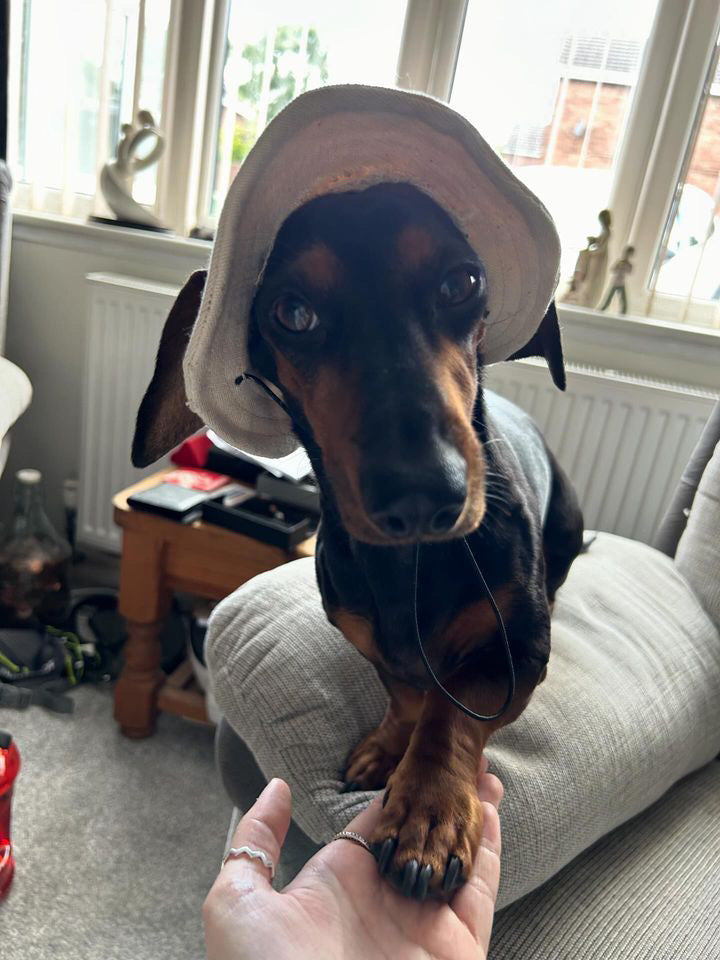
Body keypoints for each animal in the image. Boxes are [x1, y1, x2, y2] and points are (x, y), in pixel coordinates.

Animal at [134, 178, 584, 900]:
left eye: (463, 281)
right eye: (292, 312)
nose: (426, 493)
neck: (410, 566)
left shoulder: (515, 657)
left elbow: (450, 718)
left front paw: (428, 811)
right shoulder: (366, 636)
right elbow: (405, 694)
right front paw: (385, 749)